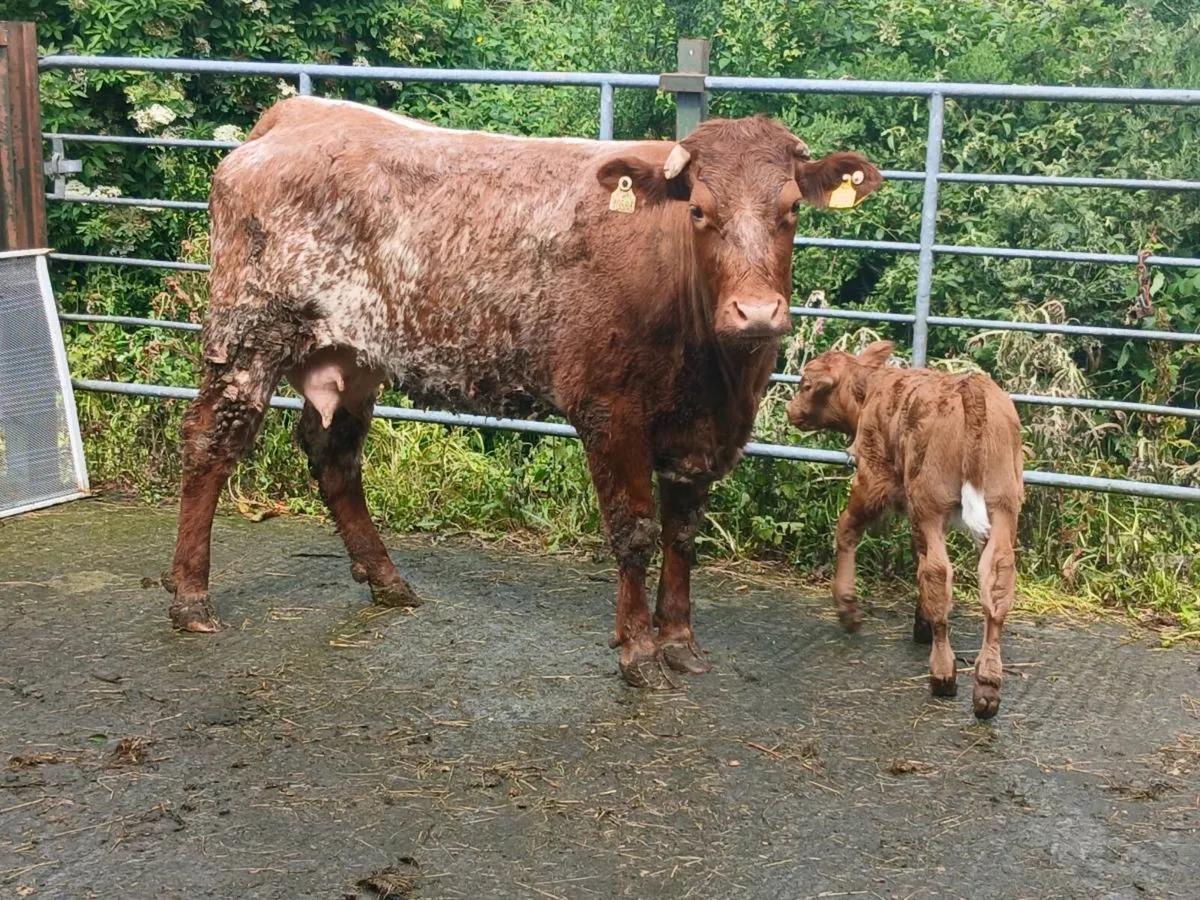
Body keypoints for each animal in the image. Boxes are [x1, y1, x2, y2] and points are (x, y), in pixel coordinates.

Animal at [163, 95, 884, 689]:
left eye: (791, 210)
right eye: (700, 211)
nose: (756, 314)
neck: (715, 374)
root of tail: (293, 116)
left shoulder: (701, 433)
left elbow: (683, 535)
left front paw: (680, 642)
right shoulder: (609, 409)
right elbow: (635, 532)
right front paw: (640, 654)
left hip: (354, 352)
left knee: (333, 456)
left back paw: (389, 582)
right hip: (248, 333)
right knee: (210, 442)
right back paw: (191, 597)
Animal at [786, 341, 1024, 717]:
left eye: (806, 384)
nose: (790, 410)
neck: (871, 391)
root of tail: (970, 388)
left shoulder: (874, 480)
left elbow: (847, 529)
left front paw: (848, 607)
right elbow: (918, 555)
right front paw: (920, 620)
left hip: (930, 503)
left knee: (938, 573)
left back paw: (942, 674)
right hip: (1003, 505)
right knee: (996, 580)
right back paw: (987, 686)